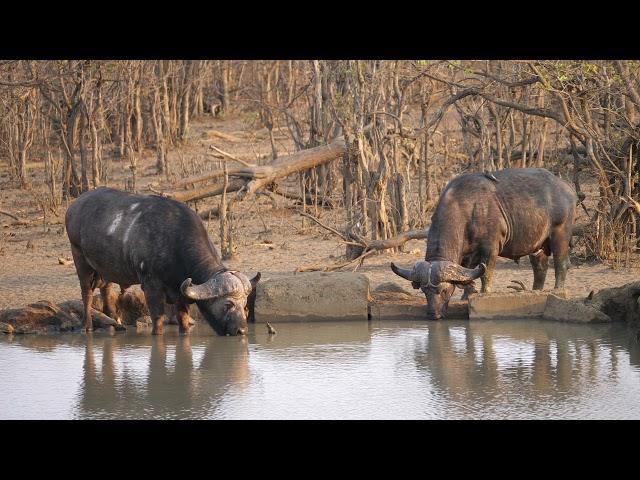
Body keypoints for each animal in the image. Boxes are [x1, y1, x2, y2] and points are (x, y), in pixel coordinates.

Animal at [64, 186, 260, 336]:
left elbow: (183, 320)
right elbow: (158, 320)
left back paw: (116, 324)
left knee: (106, 290)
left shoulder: (179, 292)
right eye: (228, 304)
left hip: (105, 269)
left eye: (245, 305)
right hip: (79, 257)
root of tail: (74, 206)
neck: (173, 241)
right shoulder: (151, 287)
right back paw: (87, 326)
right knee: (86, 293)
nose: (242, 331)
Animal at [392, 167, 576, 320]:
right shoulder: (465, 256)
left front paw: (483, 293)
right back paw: (535, 292)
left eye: (444, 290)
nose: (433, 314)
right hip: (537, 245)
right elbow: (467, 275)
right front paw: (466, 296)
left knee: (561, 263)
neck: (467, 208)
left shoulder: (490, 248)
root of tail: (567, 189)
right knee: (540, 268)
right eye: (424, 291)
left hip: (560, 235)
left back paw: (557, 290)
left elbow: (485, 274)